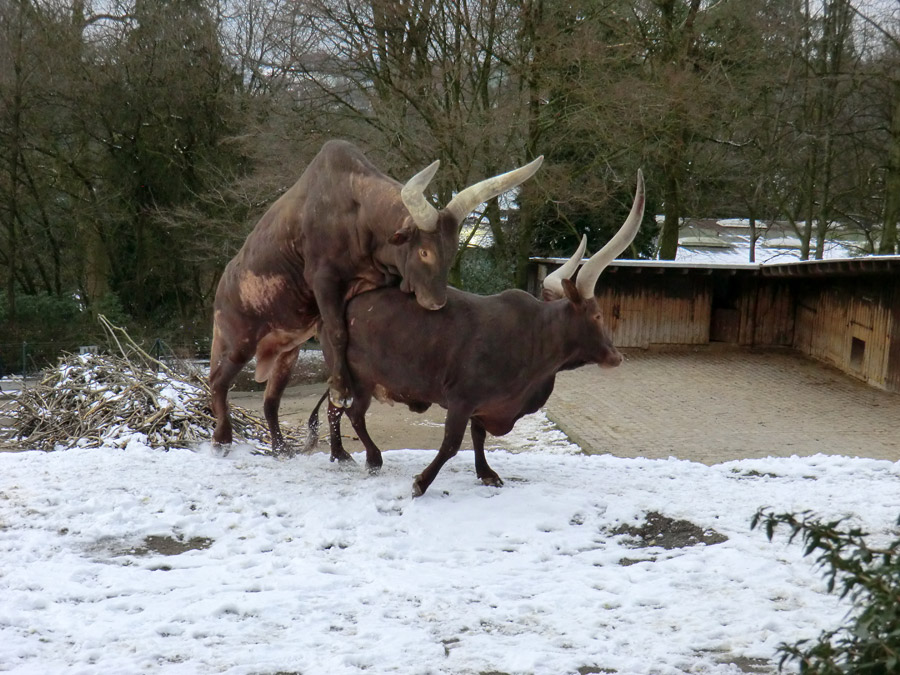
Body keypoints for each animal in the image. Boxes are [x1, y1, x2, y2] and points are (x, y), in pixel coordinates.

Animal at [211, 140, 540, 452]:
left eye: (451, 251)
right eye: (424, 252)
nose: (436, 302)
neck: (357, 215)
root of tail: (221, 286)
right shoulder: (324, 281)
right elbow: (338, 333)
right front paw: (341, 390)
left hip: (286, 351)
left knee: (270, 401)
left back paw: (280, 448)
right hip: (239, 341)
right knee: (218, 382)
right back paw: (222, 438)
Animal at [306, 170, 644, 496]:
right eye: (597, 314)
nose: (616, 356)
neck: (535, 337)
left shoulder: (483, 406)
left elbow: (478, 436)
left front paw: (486, 473)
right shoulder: (462, 399)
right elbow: (452, 443)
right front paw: (422, 482)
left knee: (335, 410)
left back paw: (339, 454)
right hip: (359, 379)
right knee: (352, 413)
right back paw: (372, 457)